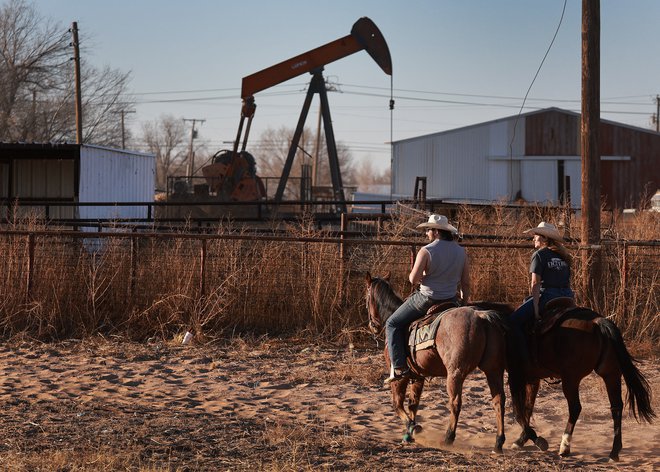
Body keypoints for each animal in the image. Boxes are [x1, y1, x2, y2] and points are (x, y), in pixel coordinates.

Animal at [364, 272, 520, 454]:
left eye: (366, 297)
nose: (372, 326)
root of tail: (481, 317)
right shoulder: (418, 376)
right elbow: (413, 405)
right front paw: (409, 434)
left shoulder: (399, 375)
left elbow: (397, 405)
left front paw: (413, 427)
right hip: (493, 370)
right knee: (498, 401)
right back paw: (498, 442)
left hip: (455, 373)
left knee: (455, 403)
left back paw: (448, 438)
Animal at [506, 298, 656, 460]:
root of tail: (598, 322)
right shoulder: (533, 379)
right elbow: (527, 408)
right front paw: (522, 439)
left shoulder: (516, 377)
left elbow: (518, 412)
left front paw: (535, 440)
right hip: (611, 374)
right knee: (616, 407)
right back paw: (614, 452)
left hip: (571, 379)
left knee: (575, 408)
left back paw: (565, 446)